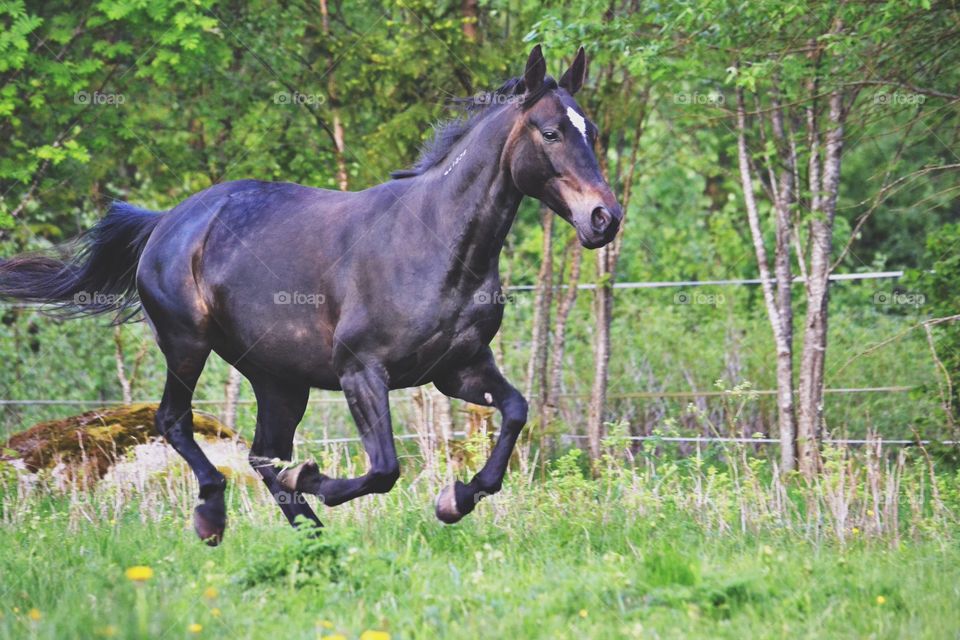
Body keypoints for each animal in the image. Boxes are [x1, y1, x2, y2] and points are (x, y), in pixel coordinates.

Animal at [0, 46, 624, 544]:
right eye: (550, 132)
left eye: (591, 131)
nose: (605, 218)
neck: (433, 240)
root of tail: (166, 222)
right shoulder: (361, 371)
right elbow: (385, 468)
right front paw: (318, 478)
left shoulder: (460, 368)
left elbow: (515, 412)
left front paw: (456, 499)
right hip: (186, 344)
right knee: (175, 421)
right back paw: (213, 517)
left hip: (280, 379)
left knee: (262, 453)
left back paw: (310, 533)